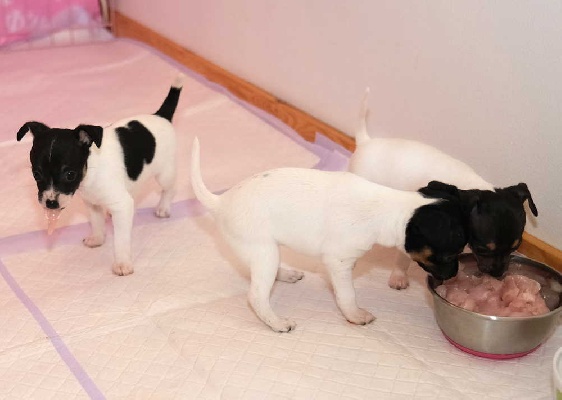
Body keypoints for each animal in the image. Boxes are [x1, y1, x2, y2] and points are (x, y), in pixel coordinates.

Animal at [16, 74, 184, 276]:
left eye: (70, 174)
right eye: (36, 174)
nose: (50, 203)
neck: (90, 171)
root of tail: (161, 115)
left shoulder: (121, 205)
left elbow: (121, 239)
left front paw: (122, 263)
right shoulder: (92, 203)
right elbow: (97, 222)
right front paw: (97, 238)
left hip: (165, 173)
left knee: (169, 189)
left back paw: (163, 208)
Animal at [191, 137, 467, 332]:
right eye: (449, 255)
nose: (454, 275)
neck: (390, 208)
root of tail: (221, 202)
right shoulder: (339, 262)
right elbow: (347, 295)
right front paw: (355, 315)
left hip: (266, 252)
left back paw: (287, 275)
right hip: (262, 251)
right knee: (256, 295)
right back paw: (277, 323)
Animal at [348, 88, 538, 288]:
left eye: (516, 247)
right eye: (482, 249)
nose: (498, 274)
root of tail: (365, 142)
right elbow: (404, 256)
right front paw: (399, 277)